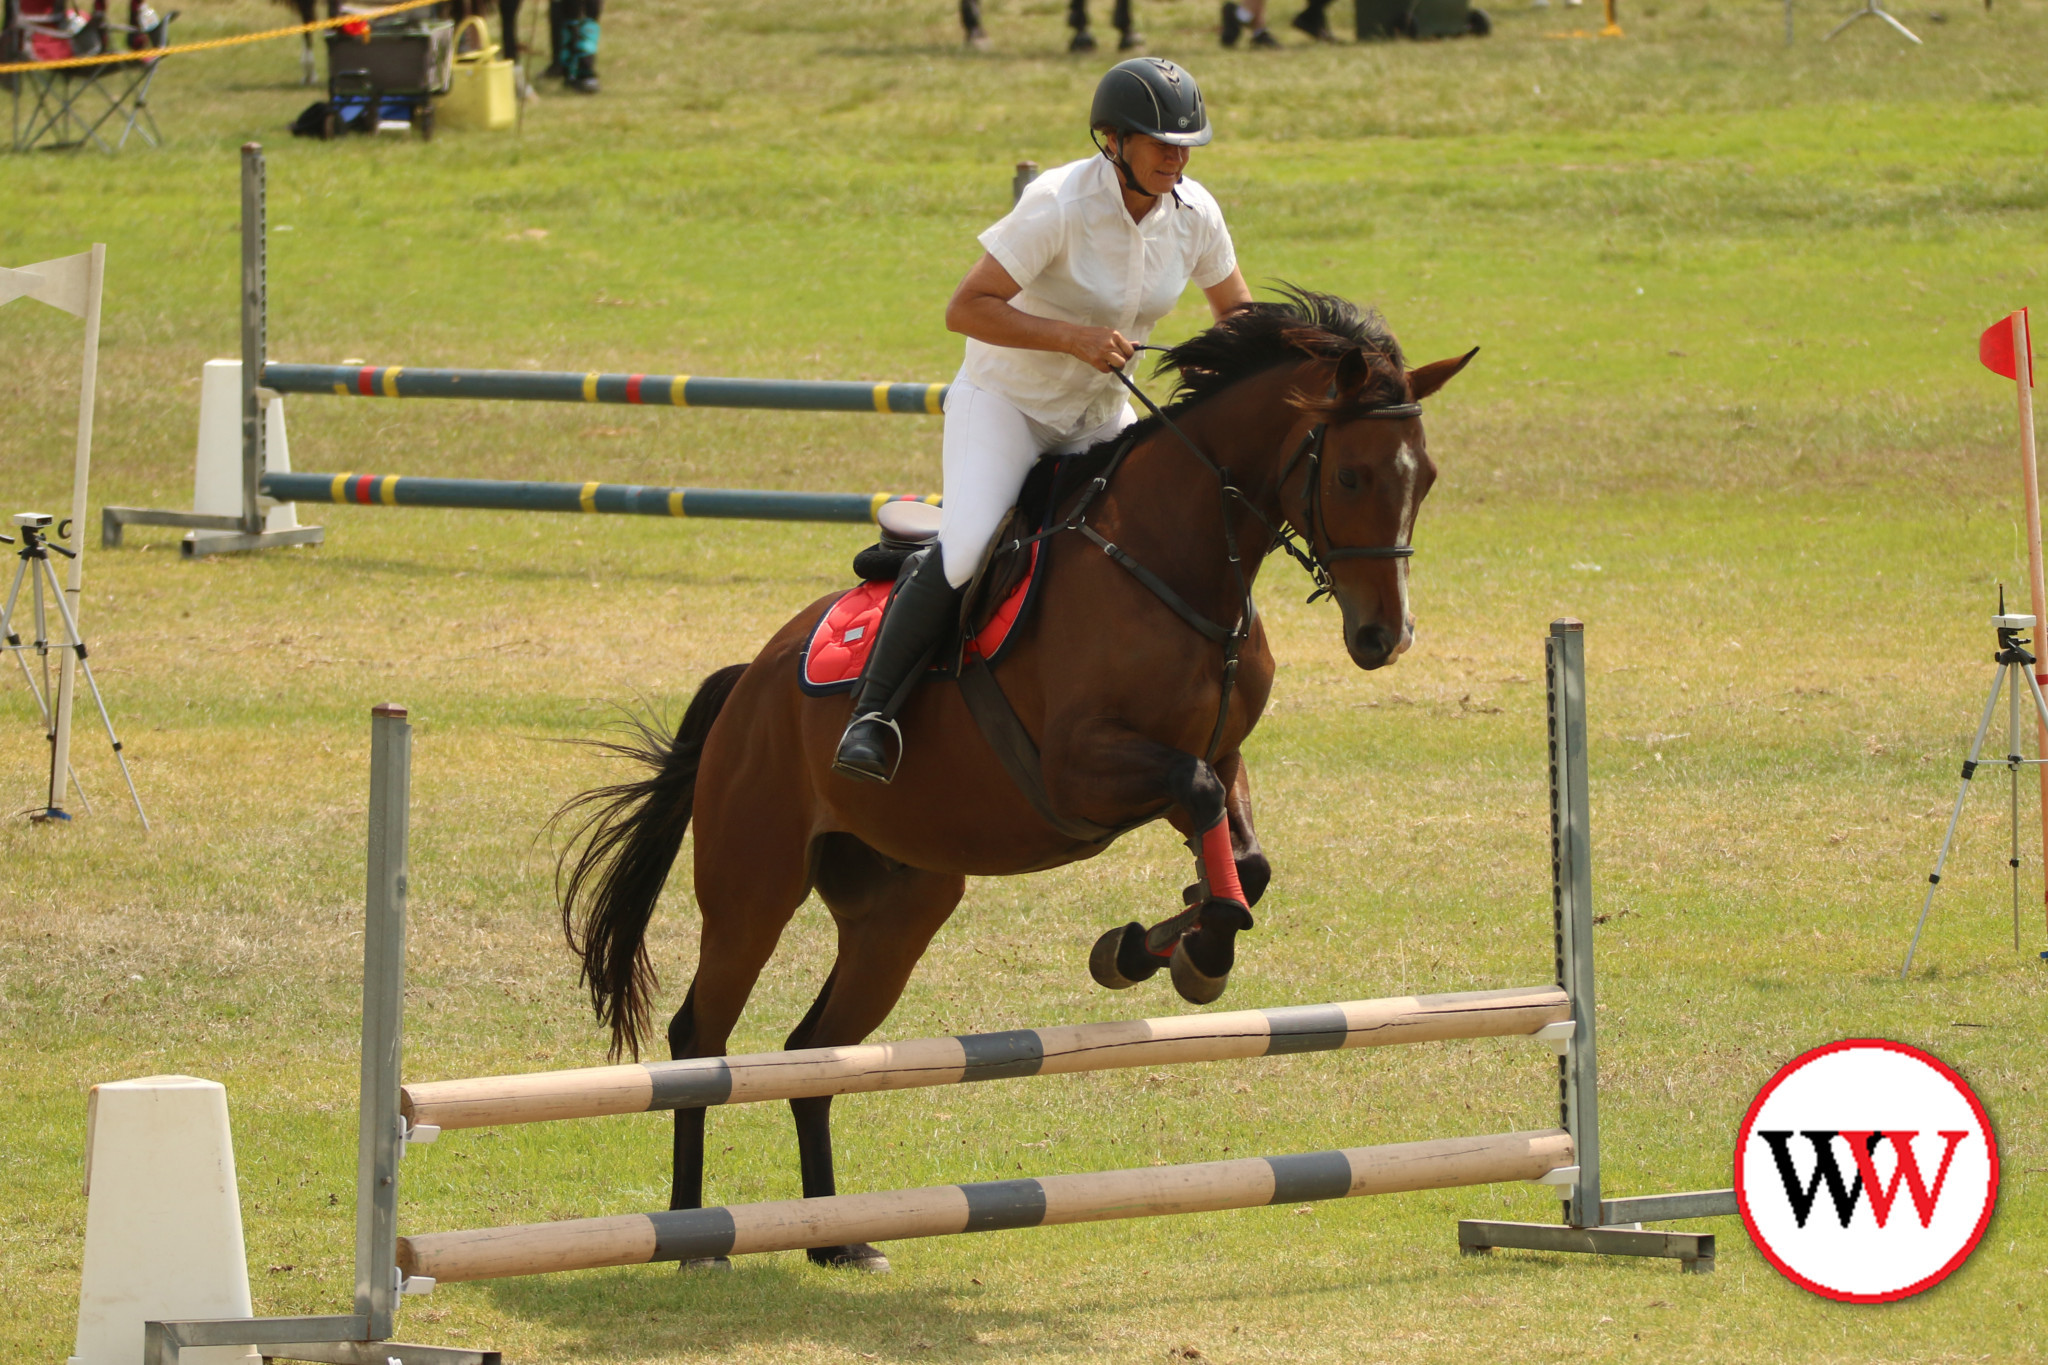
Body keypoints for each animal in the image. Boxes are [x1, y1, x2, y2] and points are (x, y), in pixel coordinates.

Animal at [552, 294, 1466, 1277]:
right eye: (1354, 475)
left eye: (1427, 476)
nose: (1383, 637)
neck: (1176, 562)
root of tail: (747, 682)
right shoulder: (1081, 767)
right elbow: (1198, 806)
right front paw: (1184, 951)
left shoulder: (1221, 753)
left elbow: (1241, 858)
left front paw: (1161, 942)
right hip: (753, 885)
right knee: (701, 1041)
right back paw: (694, 1237)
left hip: (900, 909)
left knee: (813, 1052)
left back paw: (837, 1240)